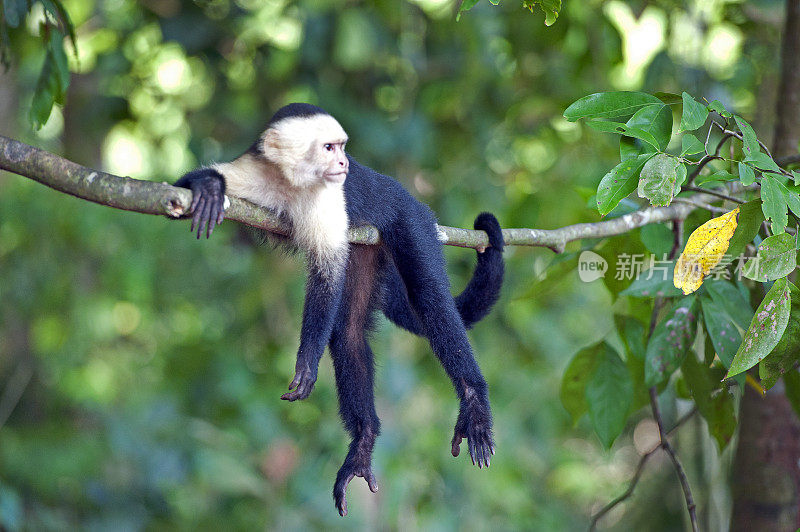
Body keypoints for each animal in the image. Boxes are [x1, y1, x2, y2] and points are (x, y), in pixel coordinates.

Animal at [175, 103, 504, 516]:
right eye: (329, 147)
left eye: (342, 147)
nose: (345, 163)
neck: (292, 183)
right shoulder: (253, 171)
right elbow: (181, 189)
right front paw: (208, 187)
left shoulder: (328, 199)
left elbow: (326, 274)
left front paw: (306, 360)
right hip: (367, 249)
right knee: (348, 331)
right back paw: (363, 443)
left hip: (411, 219)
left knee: (432, 303)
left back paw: (474, 402)